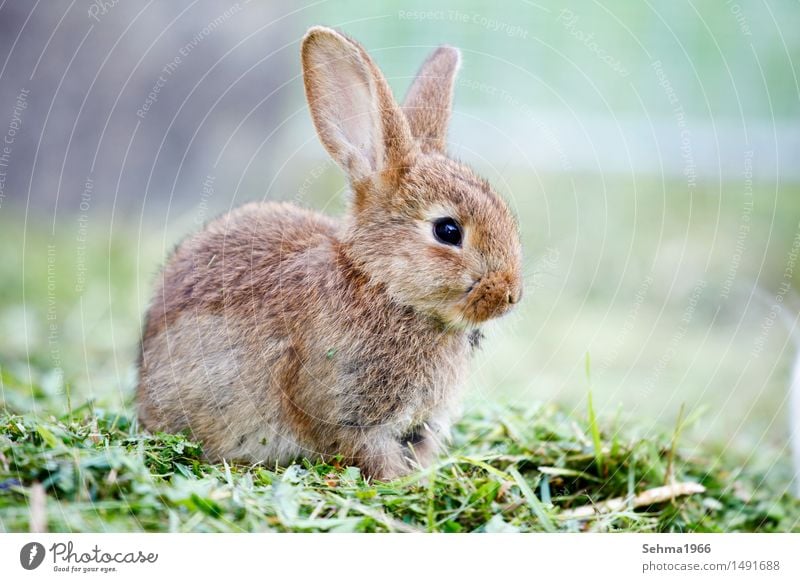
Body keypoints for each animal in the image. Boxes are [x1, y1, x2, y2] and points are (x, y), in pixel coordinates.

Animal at [136, 26, 524, 484]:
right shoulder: (349, 415)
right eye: (448, 231)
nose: (510, 295)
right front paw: (400, 484)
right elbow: (369, 453)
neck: (381, 285)